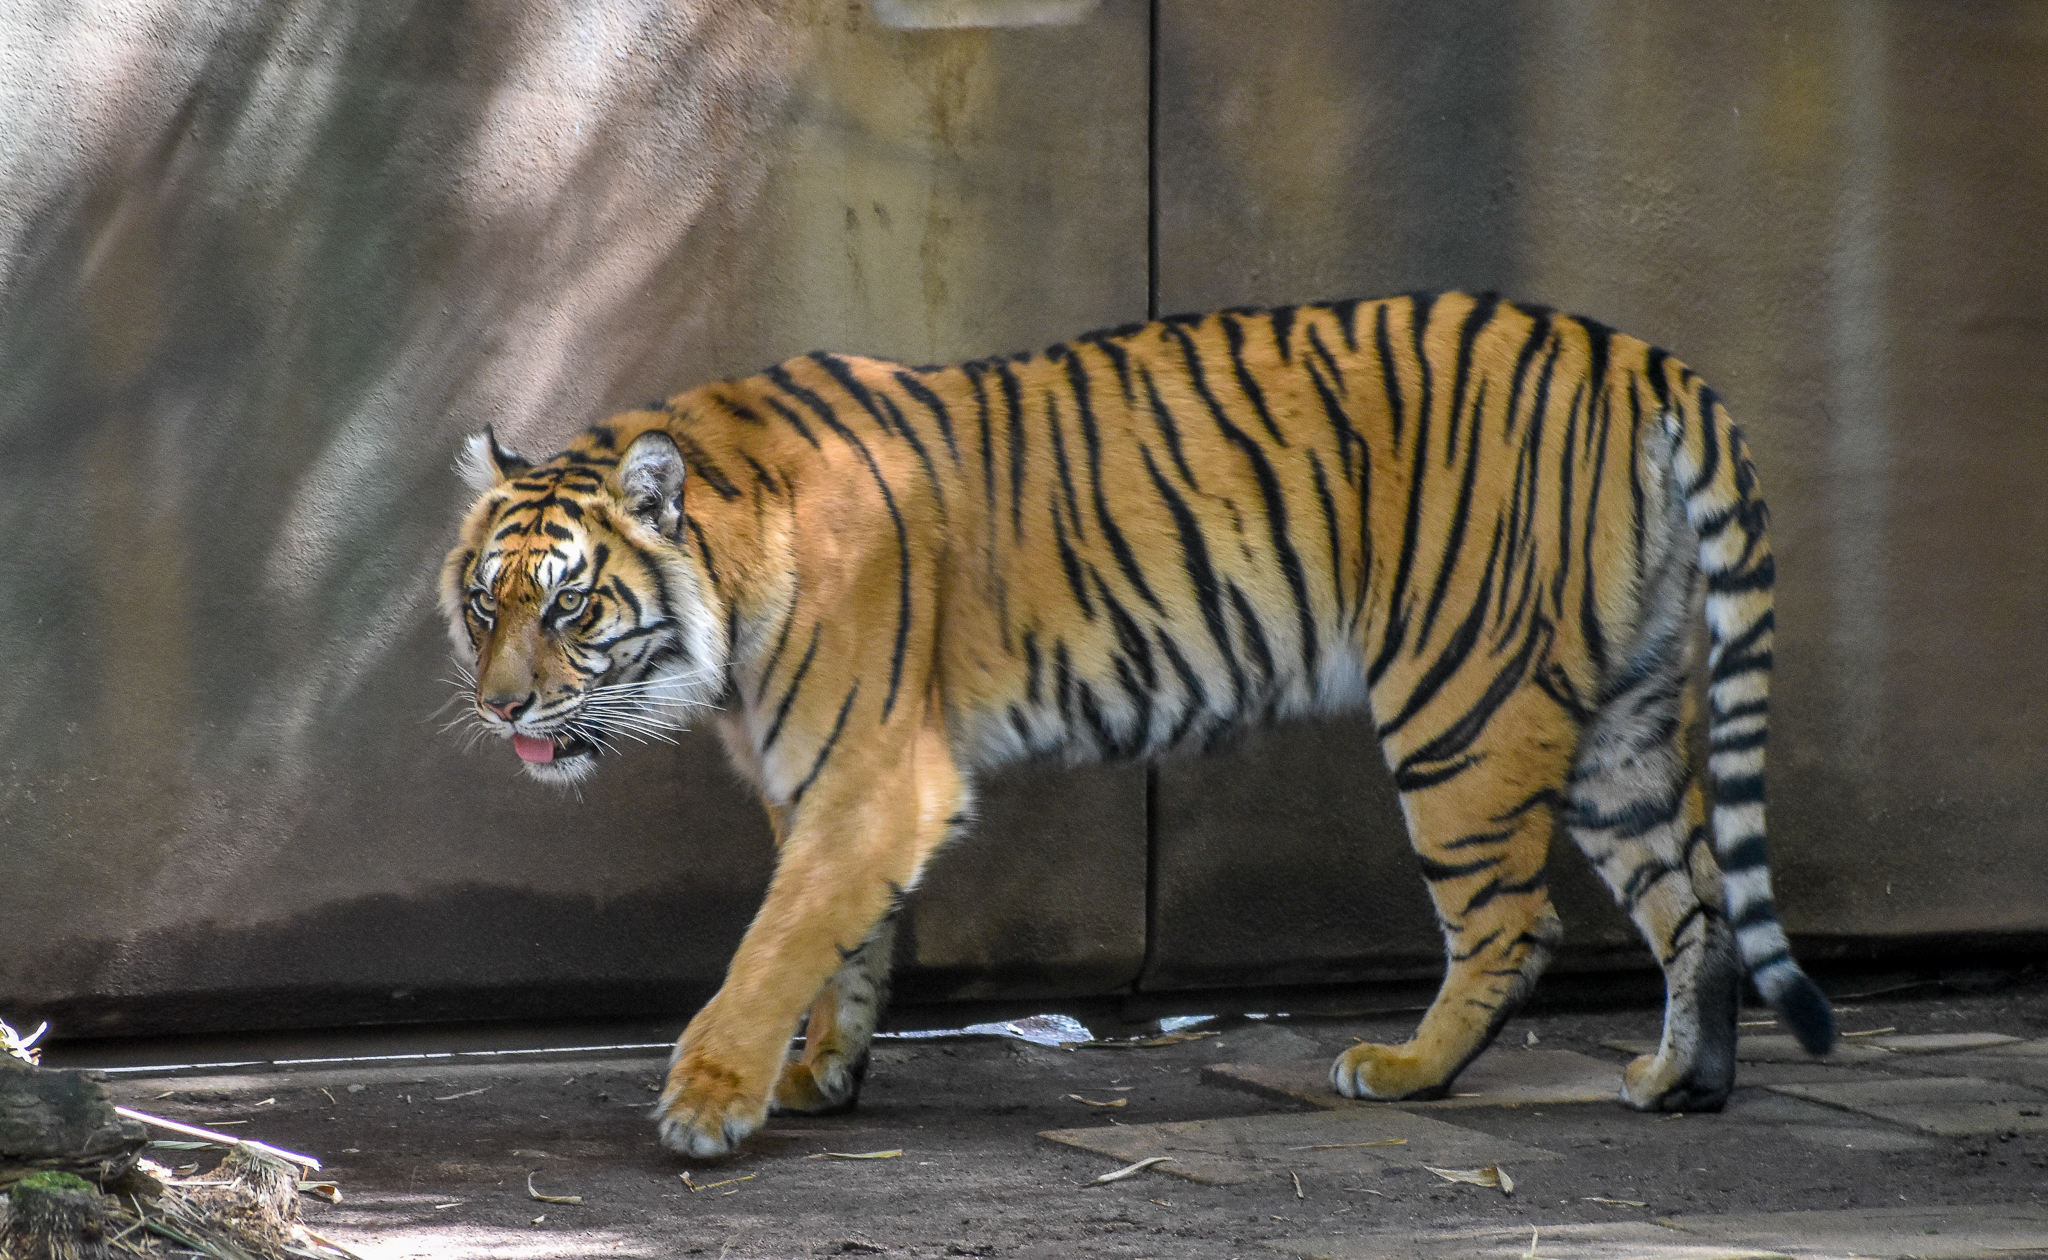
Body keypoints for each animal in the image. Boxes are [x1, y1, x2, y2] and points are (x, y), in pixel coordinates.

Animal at [440, 291, 1836, 1158]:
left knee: (1514, 924)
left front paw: (711, 1101)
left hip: (1463, 706)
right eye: (483, 604)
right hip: (1620, 717)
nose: (501, 706)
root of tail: (1632, 355)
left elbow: (773, 947)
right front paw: (823, 1079)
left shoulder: (874, 780)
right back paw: (1681, 1083)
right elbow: (843, 948)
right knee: (1696, 905)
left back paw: (1402, 1070)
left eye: (570, 605)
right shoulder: (827, 790)